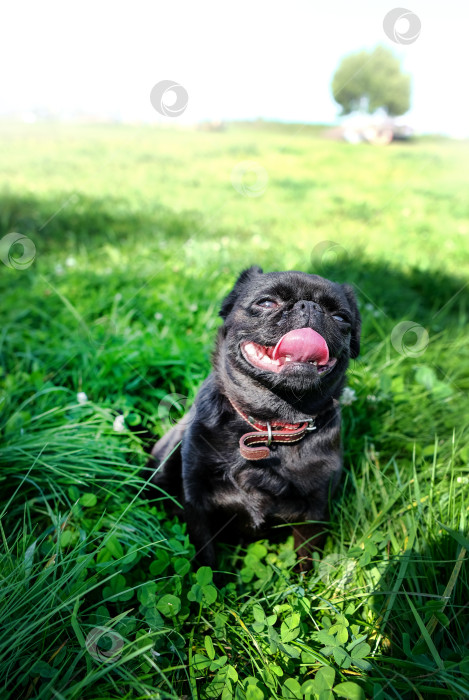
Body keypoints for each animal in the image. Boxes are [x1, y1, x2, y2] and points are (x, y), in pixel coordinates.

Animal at [145, 268, 358, 568]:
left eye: (341, 318)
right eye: (266, 303)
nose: (309, 307)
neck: (269, 423)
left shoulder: (314, 512)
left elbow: (304, 561)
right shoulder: (197, 506)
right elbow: (206, 558)